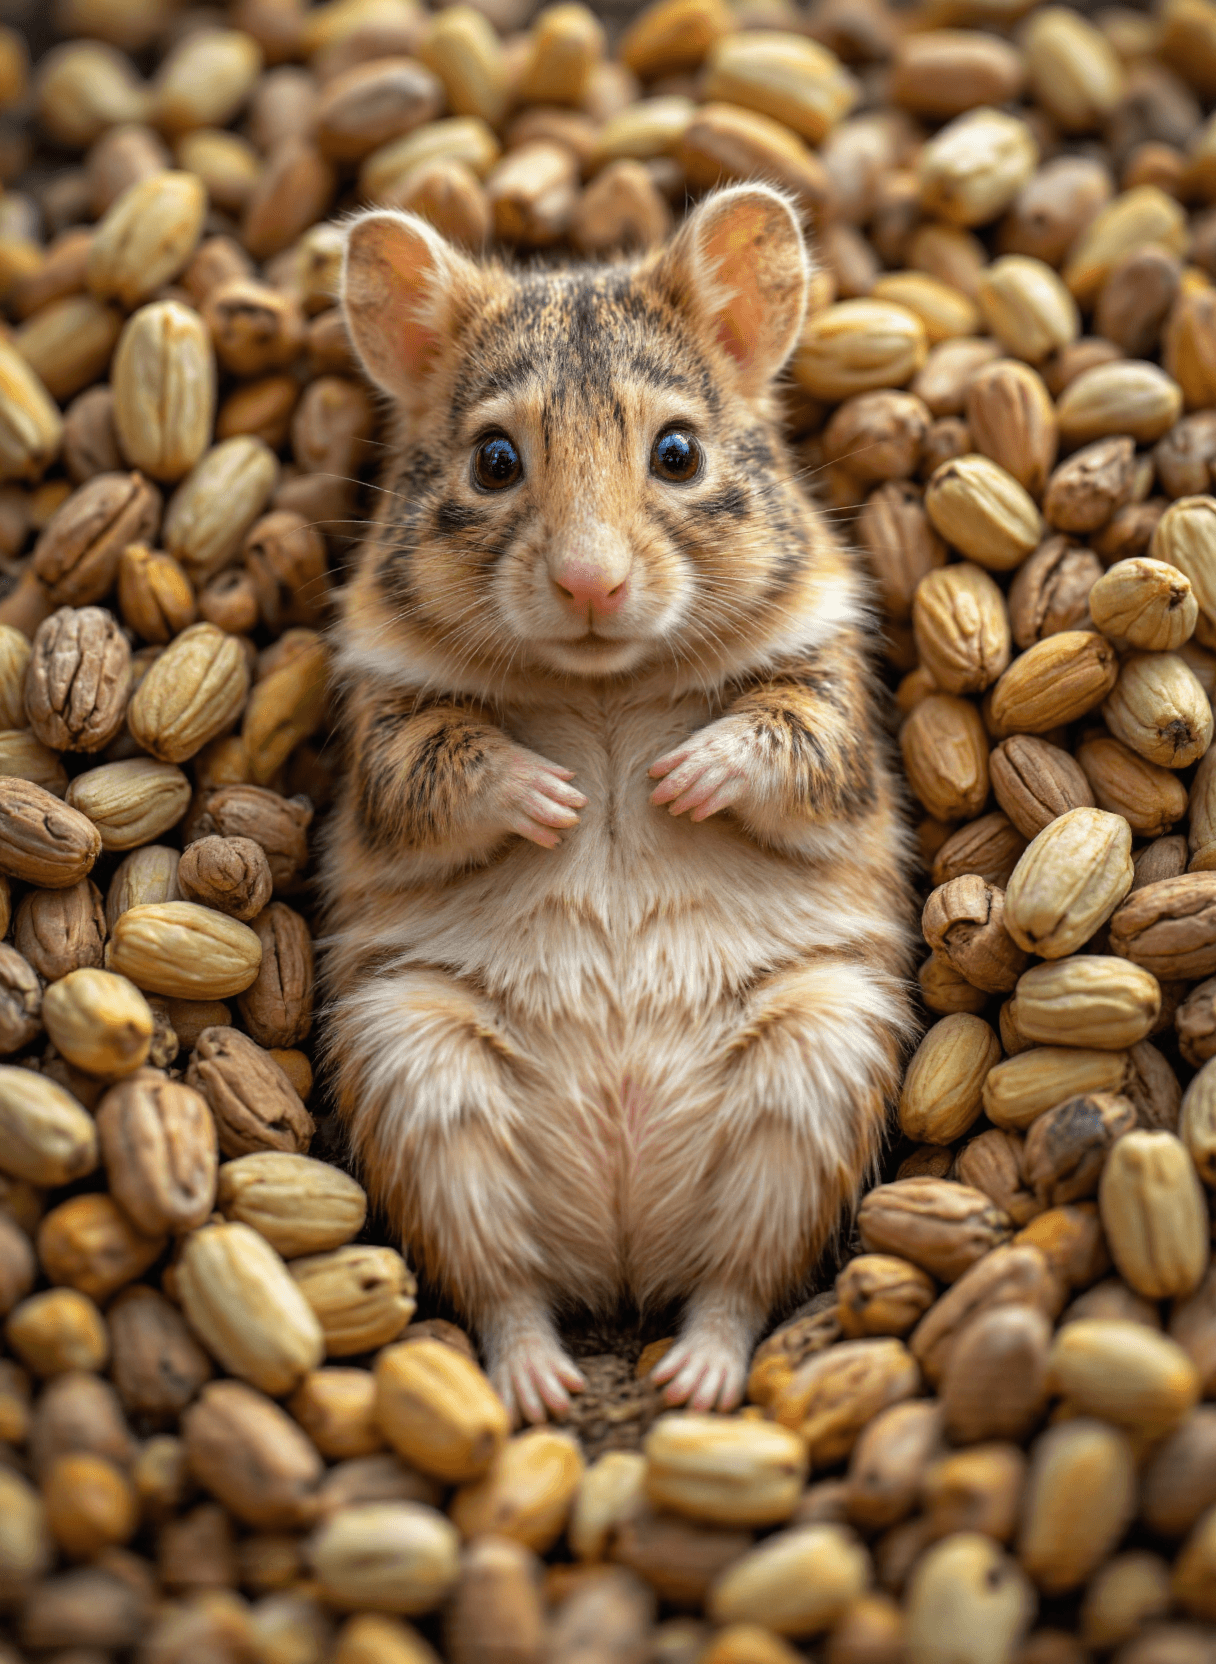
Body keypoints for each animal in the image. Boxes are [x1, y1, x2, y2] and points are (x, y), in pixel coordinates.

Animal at [322, 183, 916, 1423]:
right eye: (494, 458)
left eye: (678, 451)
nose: (590, 584)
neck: (601, 679)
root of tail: (622, 1259)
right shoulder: (387, 730)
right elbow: (447, 765)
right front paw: (559, 798)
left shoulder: (829, 702)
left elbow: (777, 741)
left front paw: (671, 783)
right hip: (421, 1072)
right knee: (504, 1287)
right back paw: (541, 1385)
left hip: (815, 1063)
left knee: (736, 1283)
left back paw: (696, 1377)